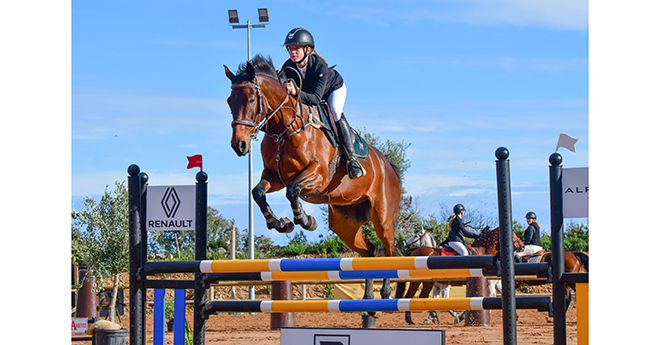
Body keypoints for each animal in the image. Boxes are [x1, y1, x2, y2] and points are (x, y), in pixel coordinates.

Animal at [224, 55, 402, 306]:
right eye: (229, 101)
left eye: (250, 99)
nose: (238, 145)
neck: (285, 127)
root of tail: (389, 166)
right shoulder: (274, 176)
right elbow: (258, 193)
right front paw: (280, 223)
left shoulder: (317, 174)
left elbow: (292, 191)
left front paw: (305, 220)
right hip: (345, 225)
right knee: (370, 251)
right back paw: (368, 301)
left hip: (383, 217)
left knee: (389, 248)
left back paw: (385, 294)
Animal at [394, 227, 524, 324]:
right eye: (513, 235)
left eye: (416, 235)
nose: (522, 246)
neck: (483, 251)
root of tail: (414, 253)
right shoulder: (444, 285)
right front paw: (460, 316)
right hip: (418, 281)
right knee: (410, 296)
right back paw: (410, 320)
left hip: (428, 282)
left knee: (422, 296)